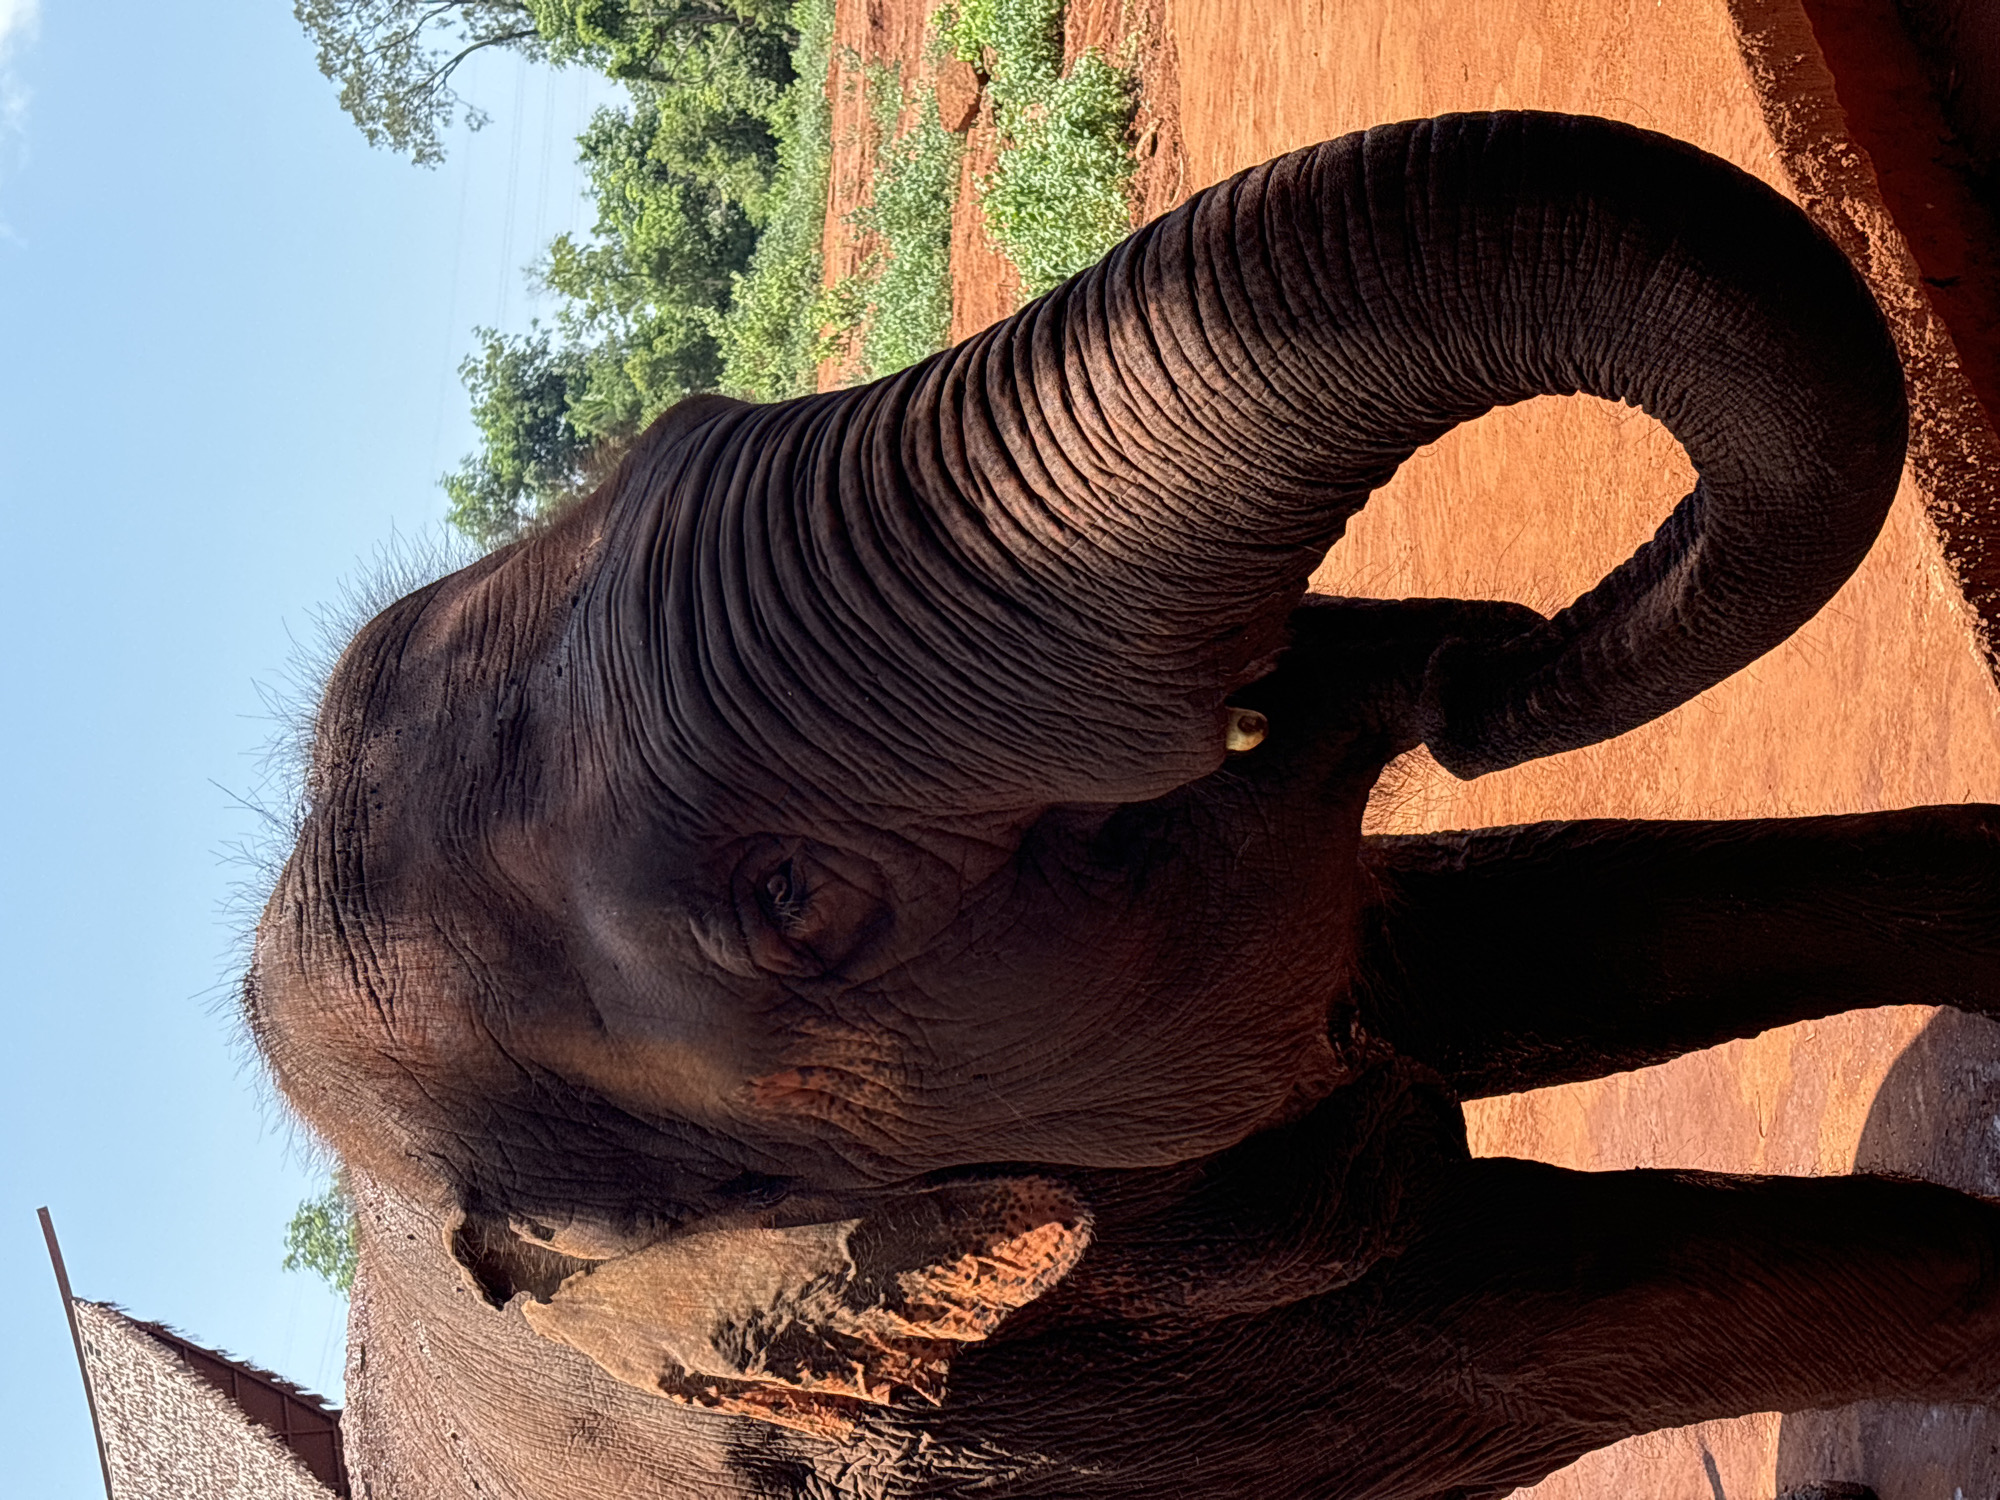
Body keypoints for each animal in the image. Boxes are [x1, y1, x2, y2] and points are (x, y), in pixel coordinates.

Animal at [250, 110, 2000, 1498]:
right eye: (794, 904)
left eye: (691, 427)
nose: (1477, 668)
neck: (417, 1218)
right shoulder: (1036, 1394)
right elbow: (1577, 1310)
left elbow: (1548, 935)